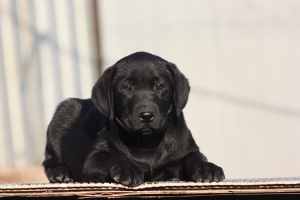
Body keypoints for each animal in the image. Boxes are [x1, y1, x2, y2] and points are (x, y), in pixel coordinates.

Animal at [42, 51, 225, 186]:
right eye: (127, 87)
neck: (147, 140)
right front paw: (127, 170)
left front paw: (208, 168)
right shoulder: (94, 158)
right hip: (64, 111)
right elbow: (114, 157)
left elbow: (195, 157)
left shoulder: (187, 149)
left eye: (160, 86)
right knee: (49, 160)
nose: (146, 115)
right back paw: (59, 172)